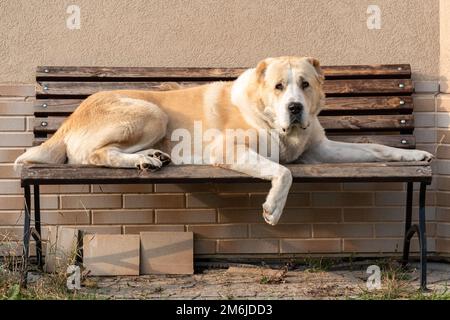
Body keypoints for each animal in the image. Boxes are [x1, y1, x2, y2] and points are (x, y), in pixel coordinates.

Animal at [15, 57, 434, 225]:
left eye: (305, 84)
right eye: (279, 86)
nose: (295, 107)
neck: (272, 120)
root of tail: (69, 117)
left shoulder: (321, 150)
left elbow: (377, 148)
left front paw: (414, 155)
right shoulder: (229, 149)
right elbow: (283, 172)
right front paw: (273, 209)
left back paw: (151, 157)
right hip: (152, 113)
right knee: (91, 155)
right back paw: (145, 159)